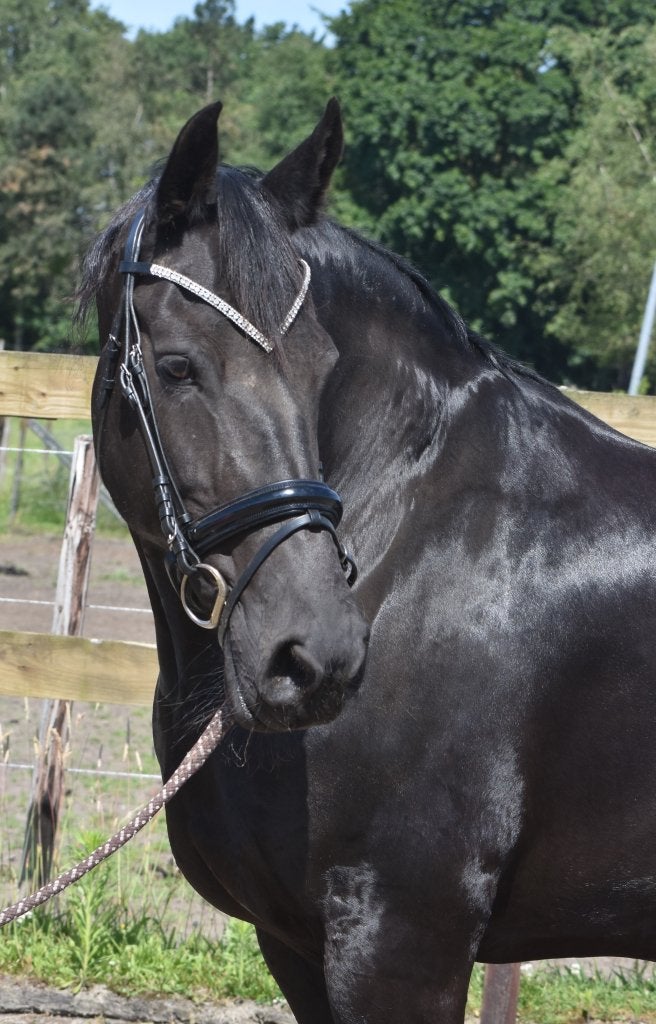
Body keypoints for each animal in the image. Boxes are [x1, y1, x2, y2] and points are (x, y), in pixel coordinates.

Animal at [80, 99, 656, 1024]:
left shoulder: (400, 941)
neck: (413, 543)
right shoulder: (292, 943)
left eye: (323, 368)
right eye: (175, 367)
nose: (314, 655)